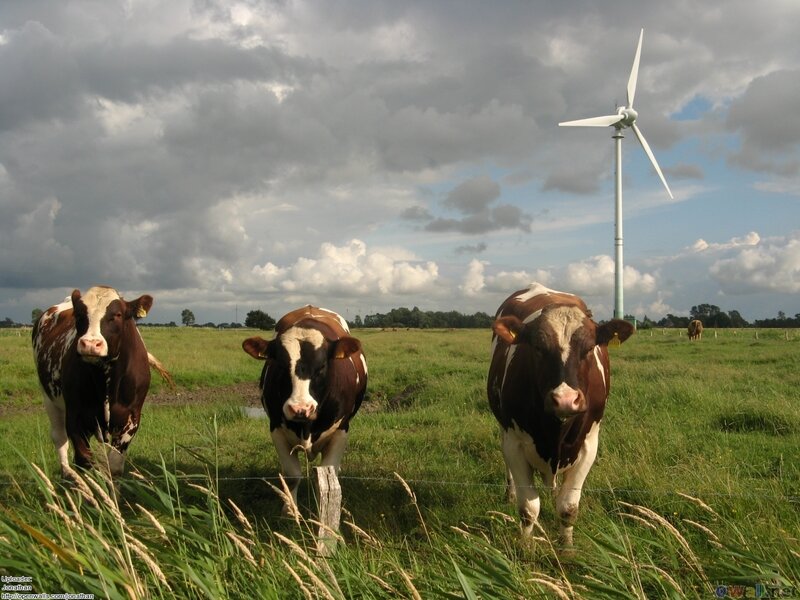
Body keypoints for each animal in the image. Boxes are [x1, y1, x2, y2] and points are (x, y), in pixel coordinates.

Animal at [33, 286, 164, 478]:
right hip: (49, 398)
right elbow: (84, 461)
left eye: (117, 314)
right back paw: (68, 474)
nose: (90, 344)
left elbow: (114, 467)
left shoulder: (130, 418)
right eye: (79, 315)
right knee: (59, 437)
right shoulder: (75, 417)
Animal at [242, 306, 367, 513]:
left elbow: (328, 474)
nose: (300, 408)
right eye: (280, 364)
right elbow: (292, 476)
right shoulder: (276, 428)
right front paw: (290, 510)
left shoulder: (341, 431)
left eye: (322, 366)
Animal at [487, 283, 635, 547]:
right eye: (538, 347)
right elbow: (528, 509)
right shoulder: (514, 443)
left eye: (589, 348)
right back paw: (509, 493)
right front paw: (526, 548)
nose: (565, 399)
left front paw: (566, 547)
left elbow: (568, 508)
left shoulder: (589, 445)